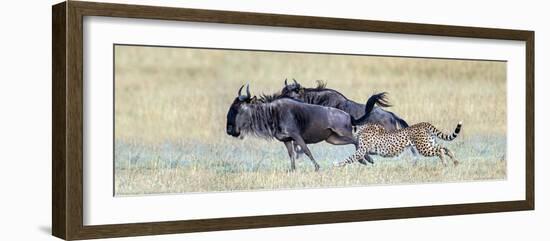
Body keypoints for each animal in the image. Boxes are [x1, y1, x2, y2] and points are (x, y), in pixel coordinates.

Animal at [334, 121, 464, 167]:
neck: (361, 129)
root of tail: (423, 123)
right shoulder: (365, 150)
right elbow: (360, 156)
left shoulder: (361, 150)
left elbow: (350, 158)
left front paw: (338, 165)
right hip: (429, 143)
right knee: (445, 147)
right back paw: (455, 162)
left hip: (424, 147)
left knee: (440, 150)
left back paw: (446, 163)